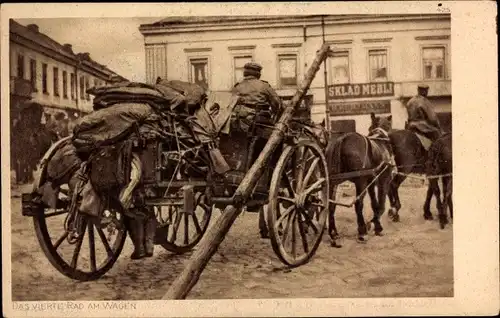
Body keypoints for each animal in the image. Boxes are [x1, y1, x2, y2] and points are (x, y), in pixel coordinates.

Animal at [326, 113, 396, 245]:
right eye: (390, 125)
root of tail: (342, 140)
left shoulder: (371, 182)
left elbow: (375, 204)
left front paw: (376, 225)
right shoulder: (383, 180)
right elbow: (381, 205)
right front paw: (374, 225)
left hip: (333, 182)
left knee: (331, 204)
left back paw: (333, 233)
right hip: (360, 182)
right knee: (358, 204)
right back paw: (362, 232)